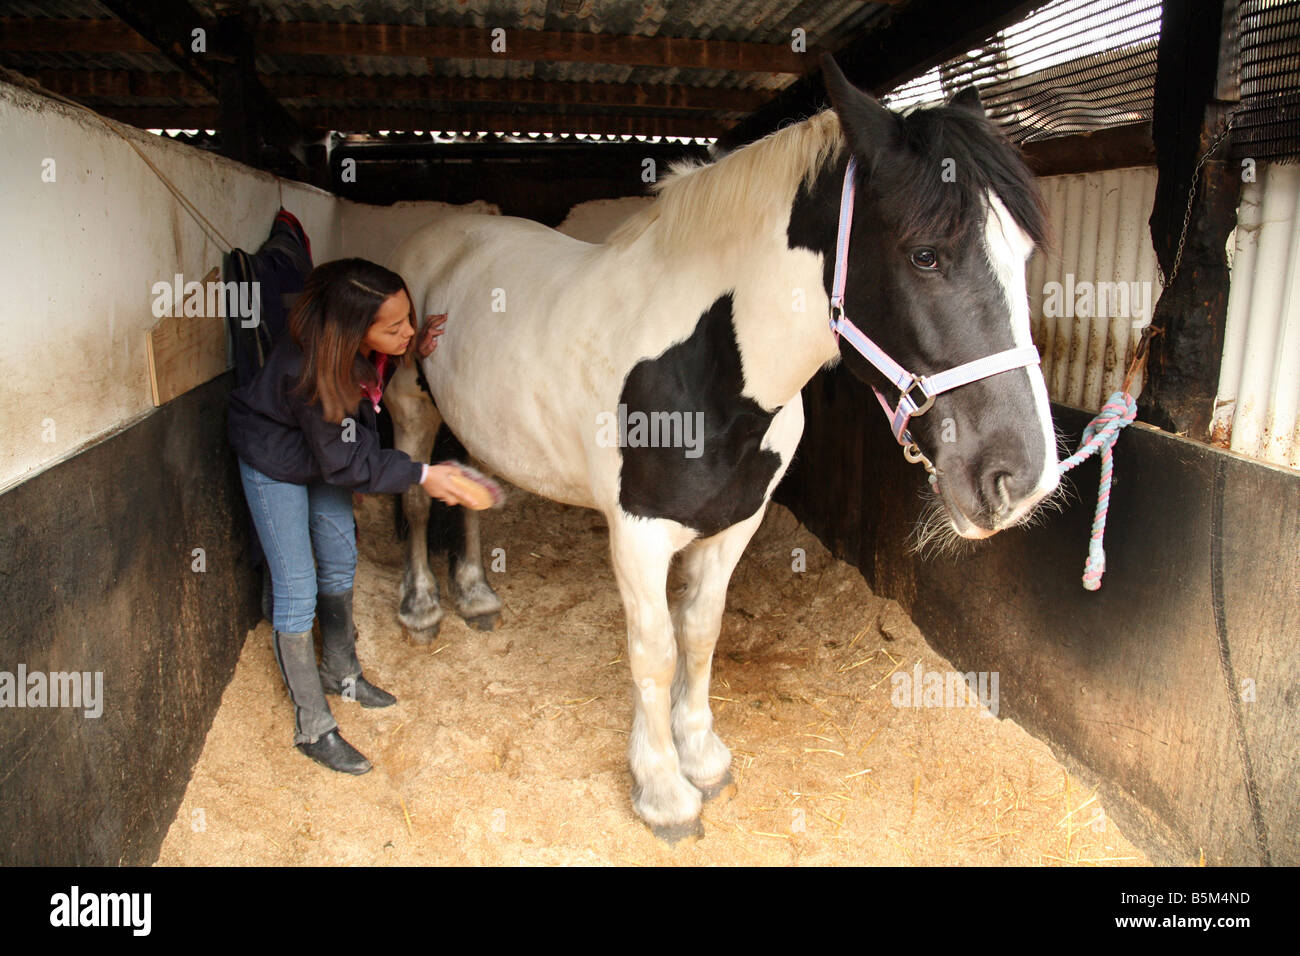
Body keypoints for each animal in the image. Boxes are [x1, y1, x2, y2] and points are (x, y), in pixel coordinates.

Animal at [383, 56, 1058, 841]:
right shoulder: (638, 535)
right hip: (410, 408)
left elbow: (700, 633)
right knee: (417, 500)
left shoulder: (735, 524)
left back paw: (476, 594)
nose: (1022, 476)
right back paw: (423, 608)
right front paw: (662, 789)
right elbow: (653, 651)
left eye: (1022, 252)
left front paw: (700, 755)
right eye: (925, 254)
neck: (707, 367)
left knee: (469, 493)